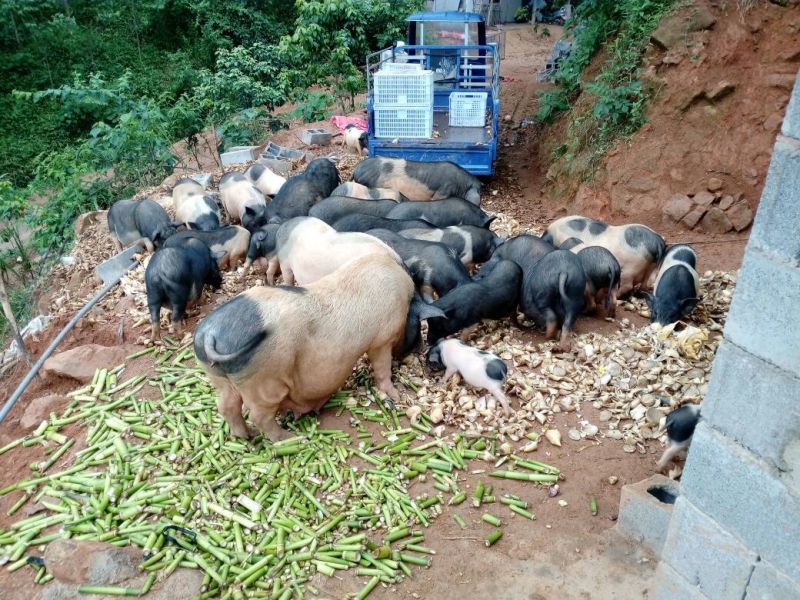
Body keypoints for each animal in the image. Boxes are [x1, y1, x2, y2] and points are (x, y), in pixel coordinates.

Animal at [194, 253, 416, 440]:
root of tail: (210, 334)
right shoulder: (382, 339)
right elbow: (382, 368)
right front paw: (396, 396)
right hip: (262, 379)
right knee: (259, 415)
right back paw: (289, 439)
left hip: (218, 377)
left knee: (226, 406)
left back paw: (246, 436)